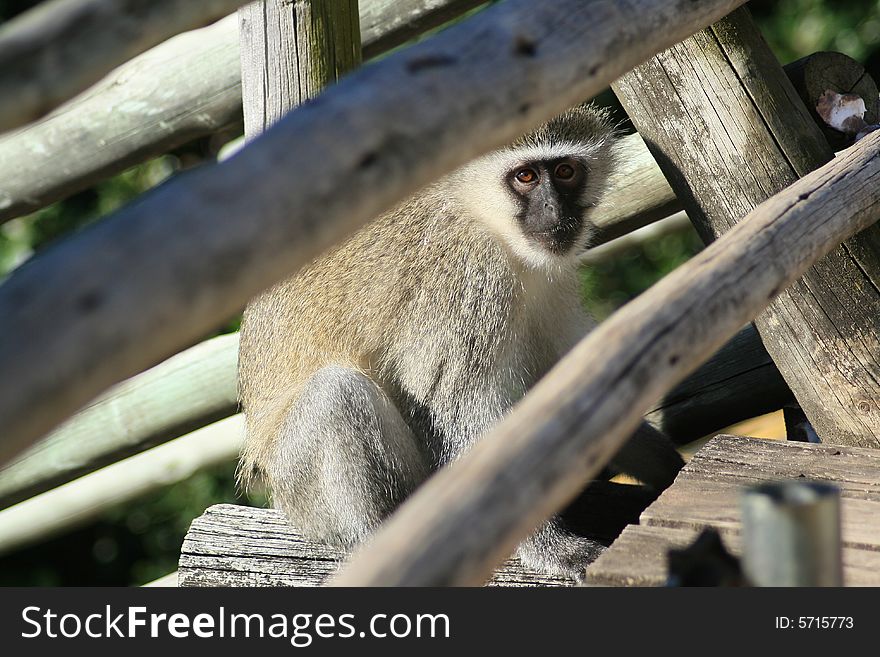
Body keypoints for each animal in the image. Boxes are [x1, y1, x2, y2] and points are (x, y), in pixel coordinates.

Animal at [237, 102, 684, 580]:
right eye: (526, 176)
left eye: (565, 172)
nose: (554, 210)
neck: (487, 221)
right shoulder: (471, 279)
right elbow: (457, 410)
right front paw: (554, 551)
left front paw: (670, 468)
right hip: (304, 492)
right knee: (336, 393)